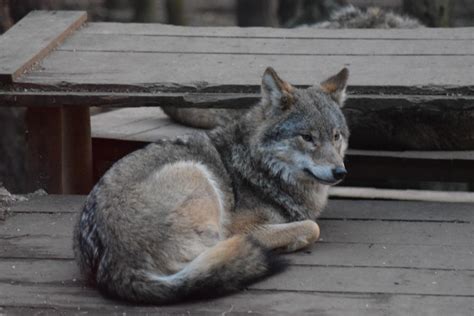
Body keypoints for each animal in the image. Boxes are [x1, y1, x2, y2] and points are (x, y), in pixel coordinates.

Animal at [73, 66, 348, 304]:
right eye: (307, 137)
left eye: (336, 136)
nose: (340, 172)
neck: (260, 166)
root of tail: (117, 266)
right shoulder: (241, 227)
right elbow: (312, 227)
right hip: (198, 175)